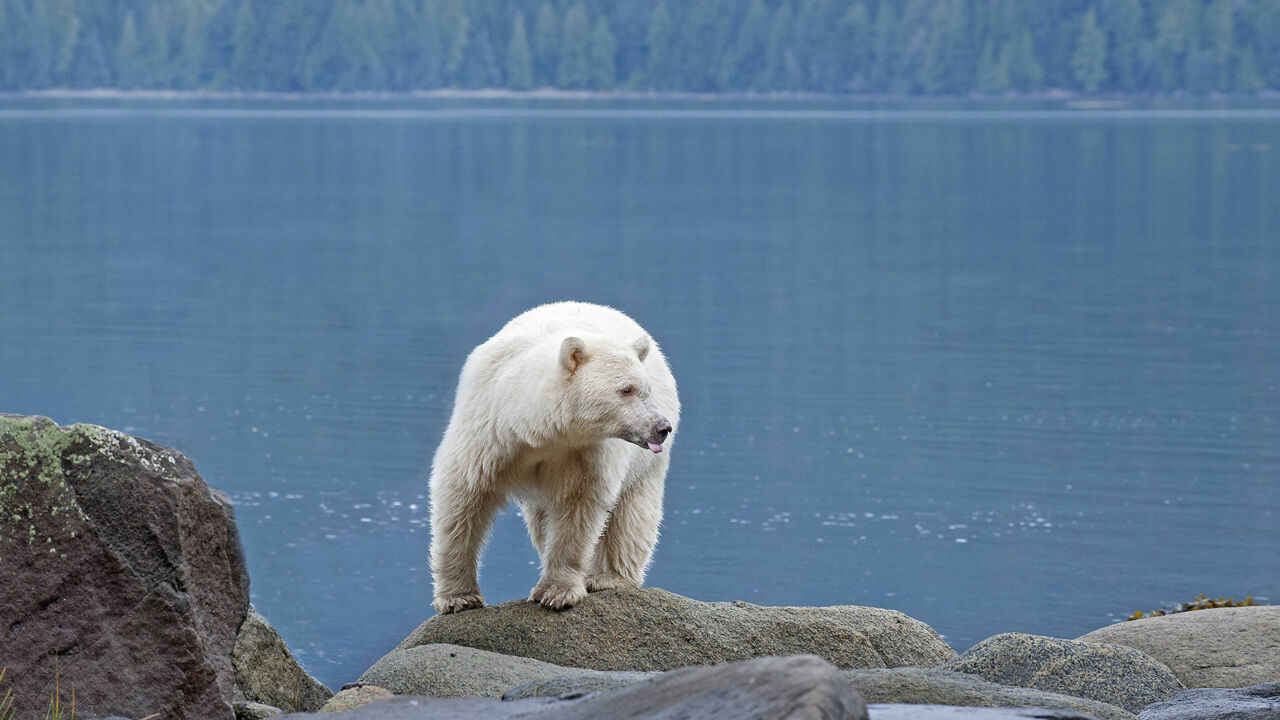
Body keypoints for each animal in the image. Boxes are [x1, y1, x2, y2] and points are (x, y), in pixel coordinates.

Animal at [427, 301, 680, 609]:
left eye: (646, 389)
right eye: (626, 389)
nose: (661, 427)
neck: (534, 427)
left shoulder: (583, 453)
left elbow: (577, 508)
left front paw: (557, 592)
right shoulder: (488, 432)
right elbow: (462, 497)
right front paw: (459, 598)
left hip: (646, 465)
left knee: (632, 514)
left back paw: (608, 577)